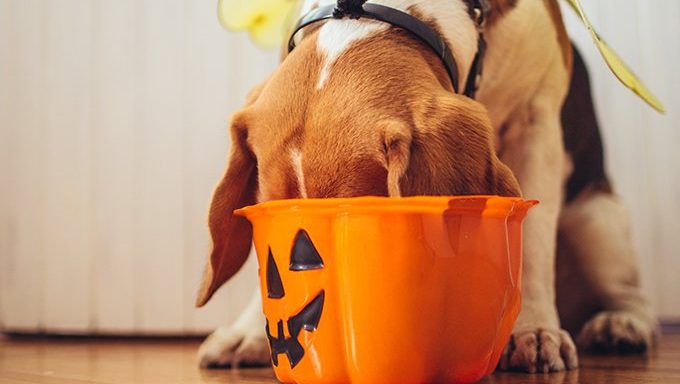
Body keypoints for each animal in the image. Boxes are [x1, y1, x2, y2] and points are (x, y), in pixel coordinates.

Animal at [194, 0, 656, 372]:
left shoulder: (537, 120)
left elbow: (536, 246)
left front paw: (534, 330)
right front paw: (248, 332)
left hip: (596, 219)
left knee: (630, 292)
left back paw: (621, 324)